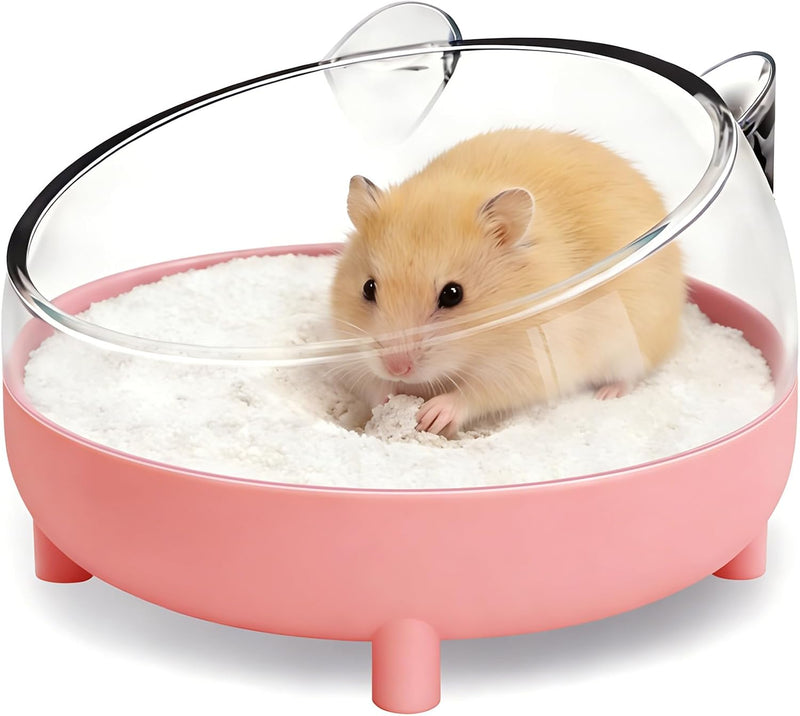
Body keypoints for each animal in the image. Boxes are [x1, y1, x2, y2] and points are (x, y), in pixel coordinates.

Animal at [330, 128, 684, 437]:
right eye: (368, 288)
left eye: (453, 294)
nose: (396, 368)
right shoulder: (350, 351)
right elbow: (371, 384)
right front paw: (389, 397)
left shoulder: (528, 363)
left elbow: (476, 394)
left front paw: (433, 414)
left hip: (633, 343)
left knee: (630, 376)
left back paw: (607, 394)